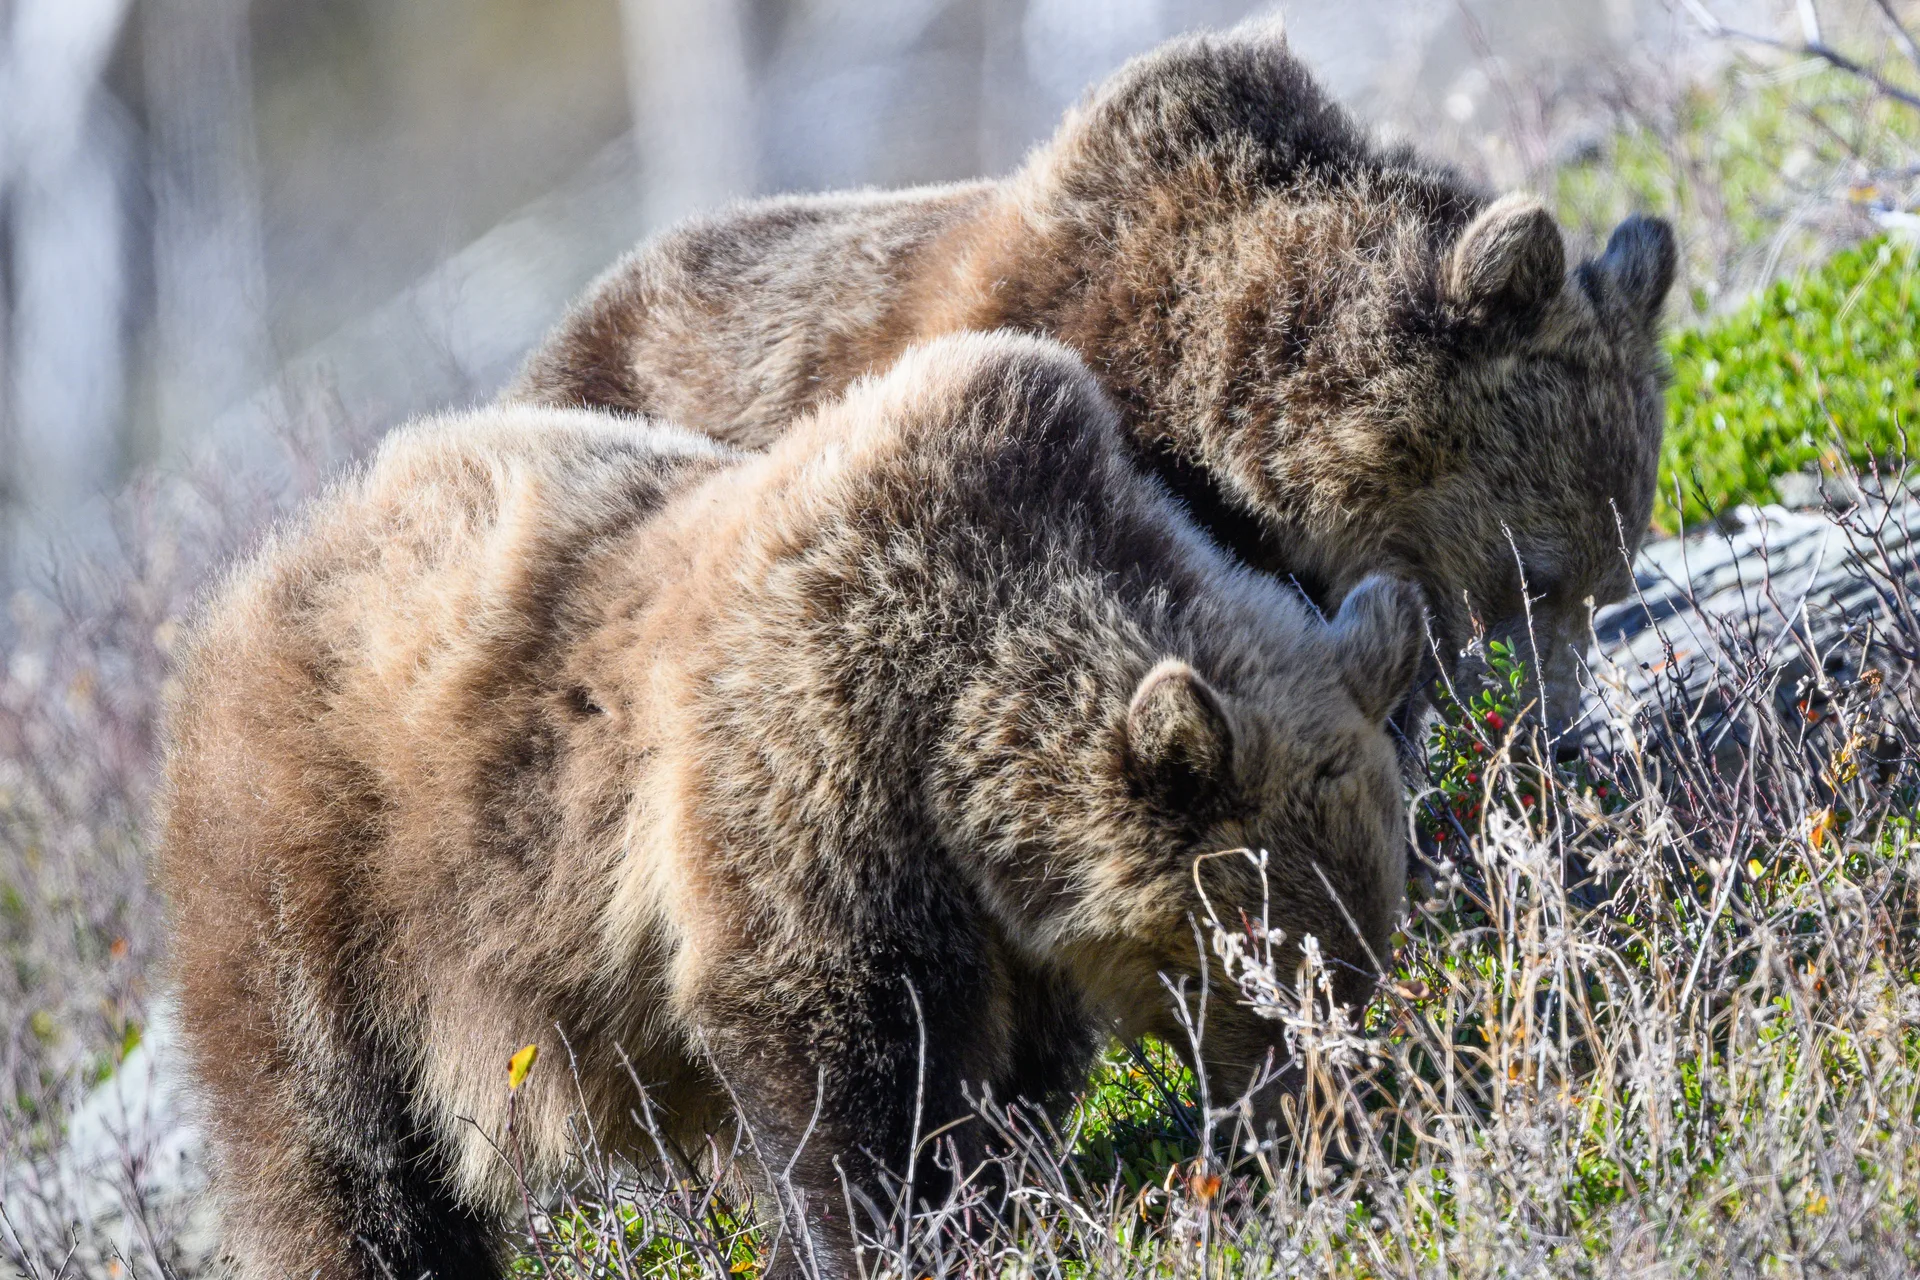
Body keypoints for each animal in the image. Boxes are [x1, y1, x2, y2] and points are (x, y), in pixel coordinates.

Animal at [160, 332, 1424, 1280]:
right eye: (1265, 963)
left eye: (1368, 948)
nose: (1337, 1112)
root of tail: (244, 584)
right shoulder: (808, 752)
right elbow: (839, 1053)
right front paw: (886, 1236)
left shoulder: (999, 910)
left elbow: (998, 1075)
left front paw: (1001, 1192)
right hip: (328, 880)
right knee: (335, 1145)